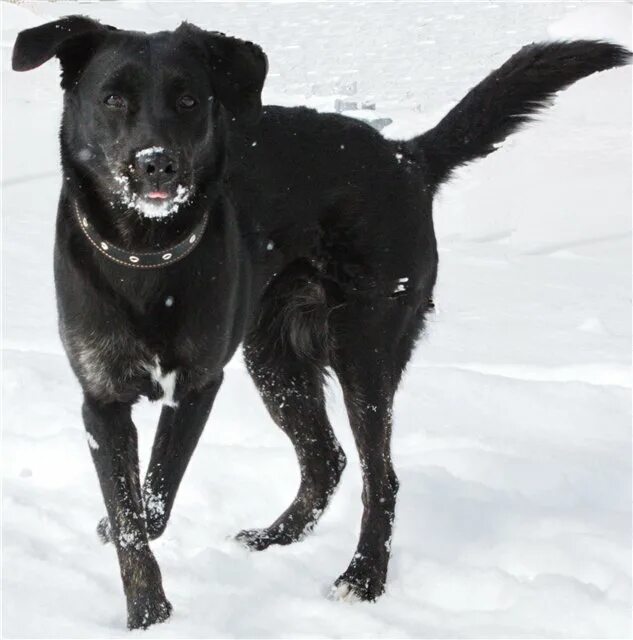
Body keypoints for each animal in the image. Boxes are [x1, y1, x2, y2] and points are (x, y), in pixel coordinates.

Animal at [12, 15, 624, 632]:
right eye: (113, 99)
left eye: (188, 100)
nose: (157, 162)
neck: (146, 256)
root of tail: (405, 157)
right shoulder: (101, 400)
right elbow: (130, 518)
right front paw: (147, 611)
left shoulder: (198, 385)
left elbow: (156, 492)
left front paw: (151, 612)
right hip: (274, 359)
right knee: (326, 460)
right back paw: (274, 537)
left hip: (363, 351)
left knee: (381, 478)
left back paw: (363, 577)